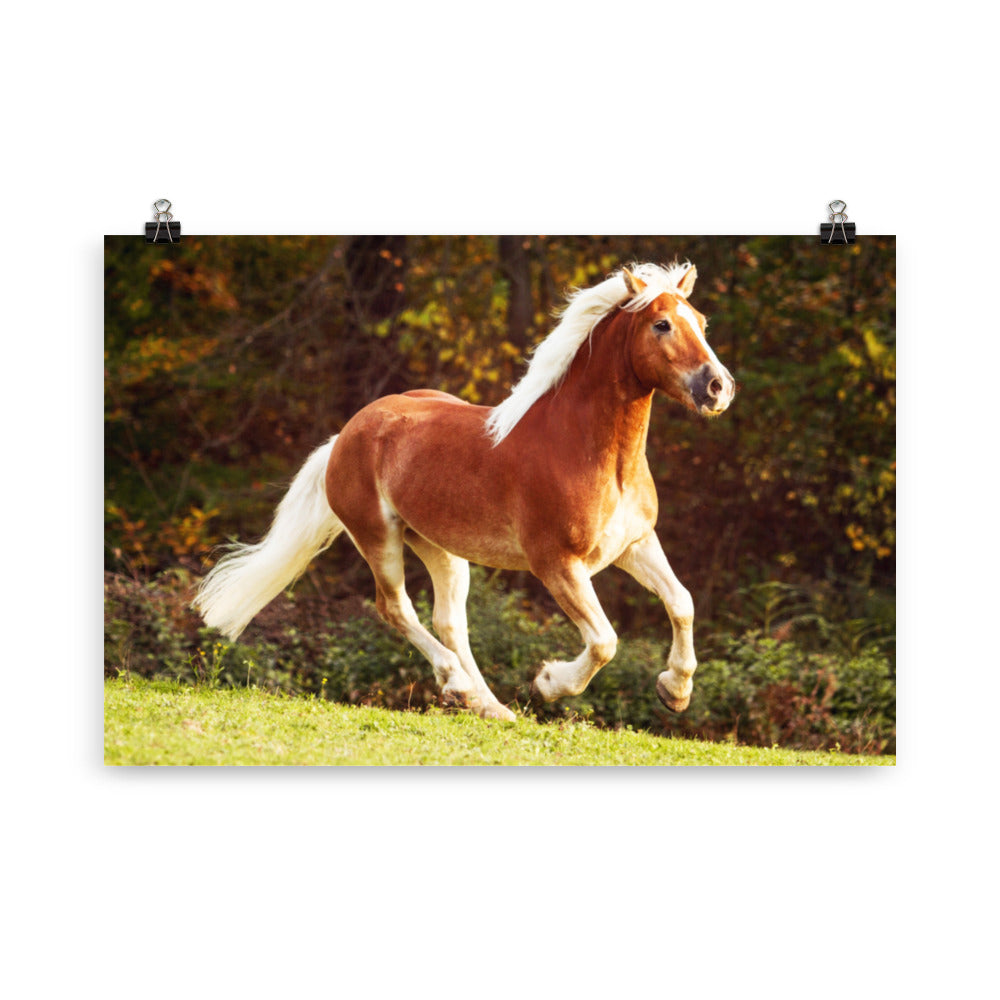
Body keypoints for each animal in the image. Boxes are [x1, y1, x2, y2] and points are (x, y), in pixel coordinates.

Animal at [194, 261, 736, 721]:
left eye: (702, 321)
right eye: (662, 325)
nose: (718, 388)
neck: (589, 451)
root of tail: (347, 433)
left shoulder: (634, 545)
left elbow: (682, 602)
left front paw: (675, 691)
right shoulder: (557, 564)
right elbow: (605, 640)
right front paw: (548, 683)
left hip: (441, 547)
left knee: (450, 621)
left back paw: (487, 705)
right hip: (378, 537)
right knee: (396, 608)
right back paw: (459, 685)